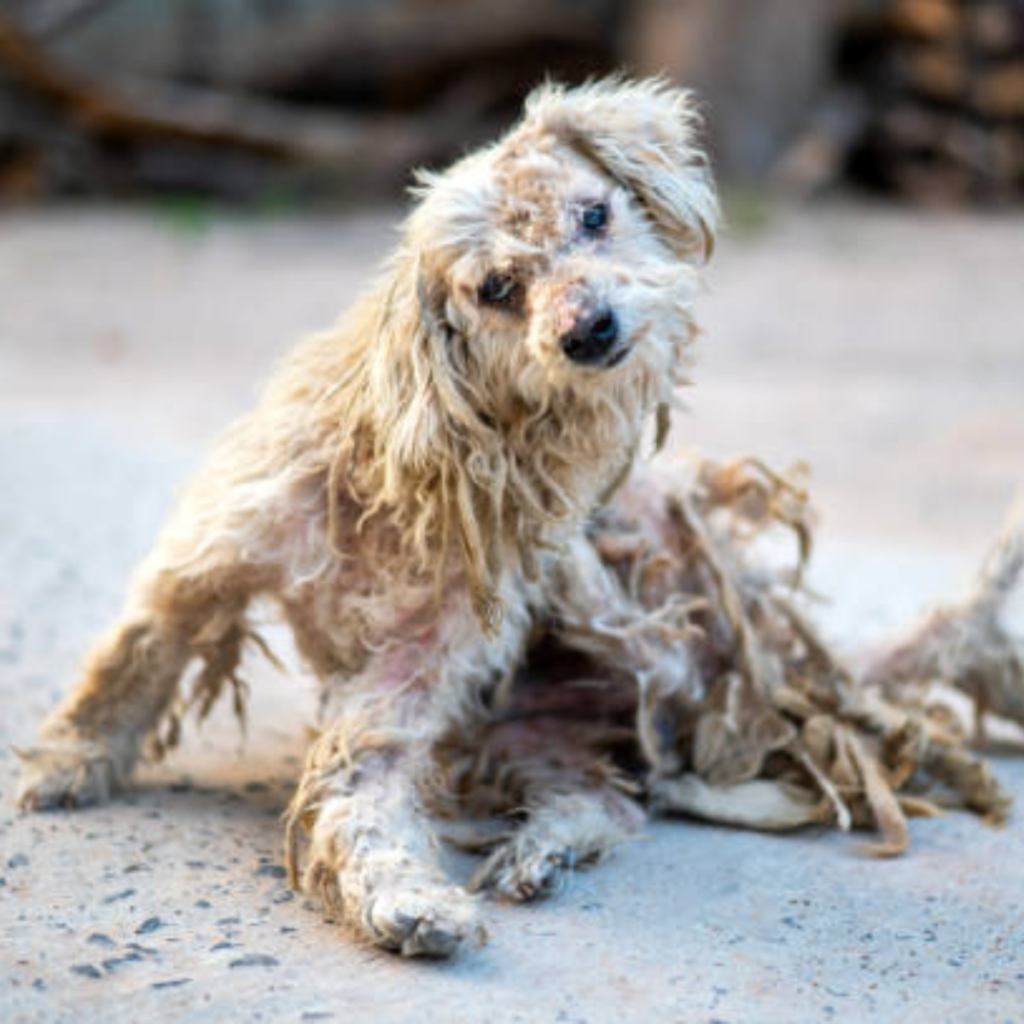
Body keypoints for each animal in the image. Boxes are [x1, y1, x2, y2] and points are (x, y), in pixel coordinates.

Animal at [18, 79, 720, 958]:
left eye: (595, 214)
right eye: (496, 289)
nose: (589, 329)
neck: (398, 486)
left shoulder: (411, 672)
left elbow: (358, 788)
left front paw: (406, 900)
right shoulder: (216, 553)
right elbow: (131, 655)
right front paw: (66, 760)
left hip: (602, 664)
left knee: (617, 781)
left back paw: (544, 847)